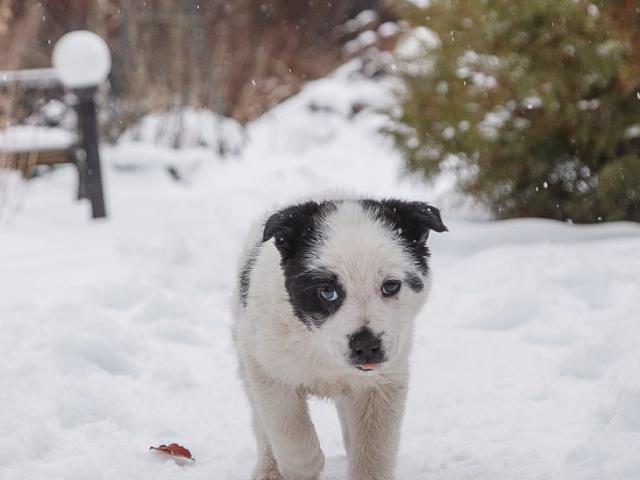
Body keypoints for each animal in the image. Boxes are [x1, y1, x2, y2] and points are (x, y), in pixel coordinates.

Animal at [232, 196, 448, 480]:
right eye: (327, 292)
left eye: (390, 286)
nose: (366, 346)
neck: (321, 348)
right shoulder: (266, 368)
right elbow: (287, 428)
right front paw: (308, 465)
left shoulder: (384, 383)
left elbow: (374, 453)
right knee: (261, 423)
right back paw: (269, 470)